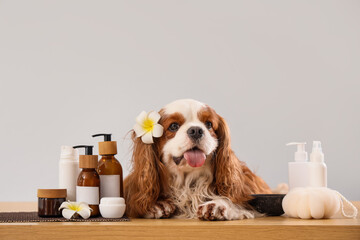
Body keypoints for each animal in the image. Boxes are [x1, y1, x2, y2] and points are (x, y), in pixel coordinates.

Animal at [125, 98, 272, 220]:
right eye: (173, 126)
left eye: (209, 124)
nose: (196, 130)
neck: (188, 182)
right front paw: (157, 204)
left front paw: (218, 204)